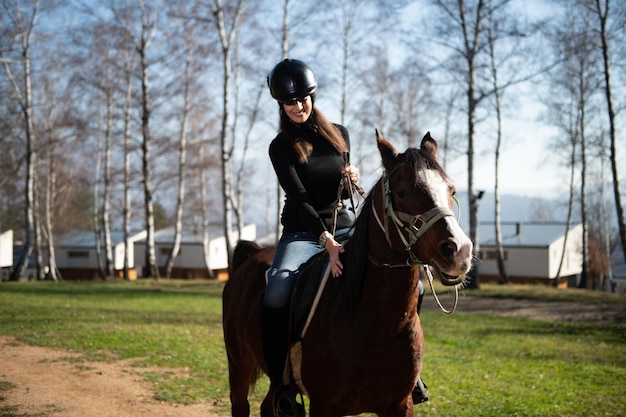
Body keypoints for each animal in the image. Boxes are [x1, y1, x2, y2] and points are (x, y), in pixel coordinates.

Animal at [222, 131, 470, 416]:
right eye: (402, 192)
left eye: (451, 190)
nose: (459, 251)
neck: (376, 325)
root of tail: (250, 254)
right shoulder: (323, 406)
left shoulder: (400, 404)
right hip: (238, 363)